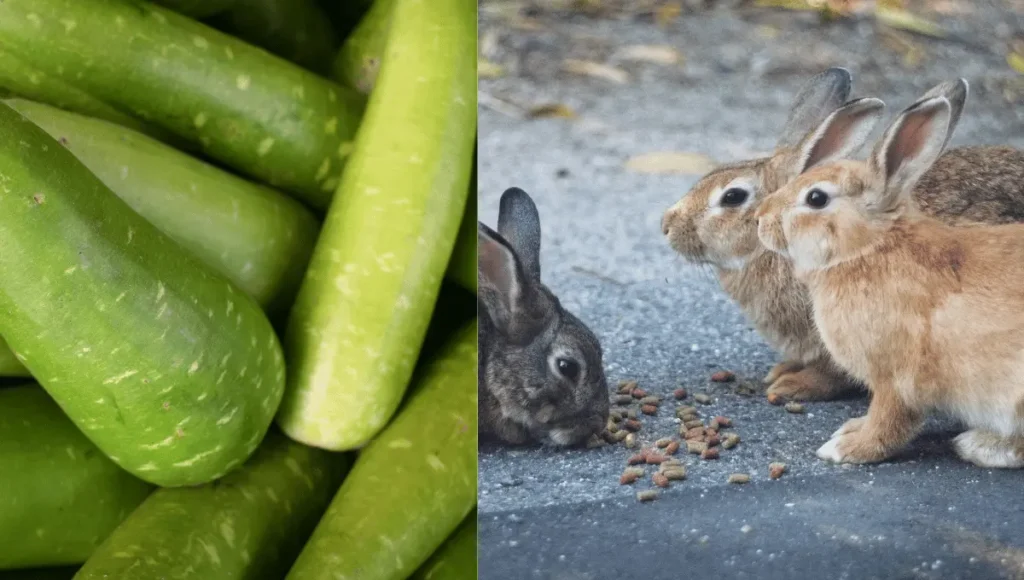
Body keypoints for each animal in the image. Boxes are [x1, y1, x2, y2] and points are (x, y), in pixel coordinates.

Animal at [753, 81, 1024, 471]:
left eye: (816, 198)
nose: (760, 218)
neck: (868, 249)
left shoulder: (895, 380)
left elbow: (889, 421)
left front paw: (847, 448)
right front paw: (851, 429)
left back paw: (980, 445)